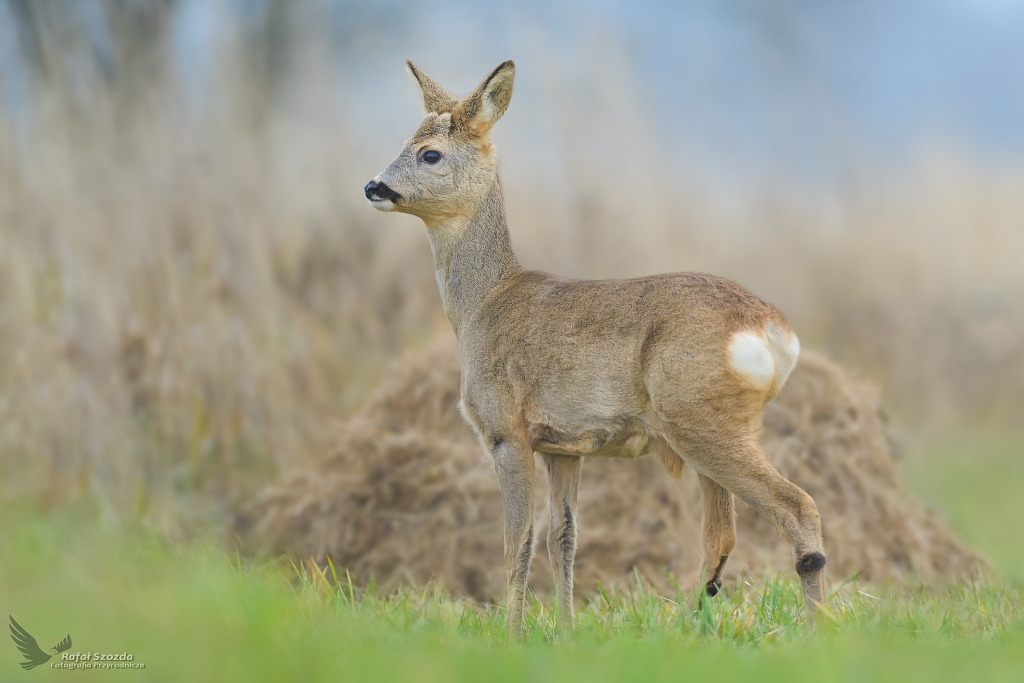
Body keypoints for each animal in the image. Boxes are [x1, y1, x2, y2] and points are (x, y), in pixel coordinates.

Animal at [364, 60, 827, 643]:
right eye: (404, 141)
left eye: (430, 154)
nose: (373, 185)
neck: (482, 307)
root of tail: (772, 329)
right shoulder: (565, 446)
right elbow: (562, 538)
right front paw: (565, 631)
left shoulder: (505, 431)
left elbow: (515, 544)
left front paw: (512, 638)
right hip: (711, 428)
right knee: (721, 535)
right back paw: (688, 629)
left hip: (699, 420)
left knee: (796, 506)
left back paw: (814, 631)